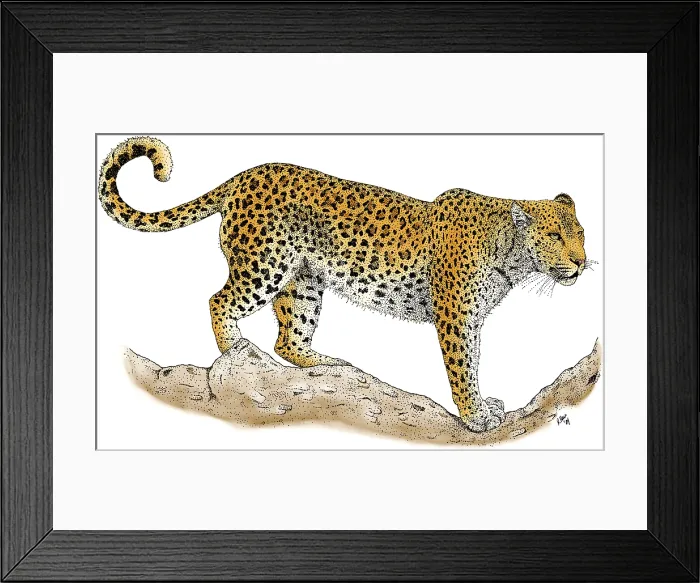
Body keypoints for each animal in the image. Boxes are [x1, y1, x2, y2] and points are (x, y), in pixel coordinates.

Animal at [98, 136, 588, 432]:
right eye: (555, 237)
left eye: (580, 233)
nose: (582, 263)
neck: (512, 257)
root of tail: (243, 176)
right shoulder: (455, 316)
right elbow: (463, 368)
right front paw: (475, 416)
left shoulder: (471, 320)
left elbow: (476, 361)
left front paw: (485, 406)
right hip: (264, 265)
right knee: (219, 301)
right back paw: (234, 349)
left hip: (302, 282)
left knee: (288, 338)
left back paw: (326, 362)